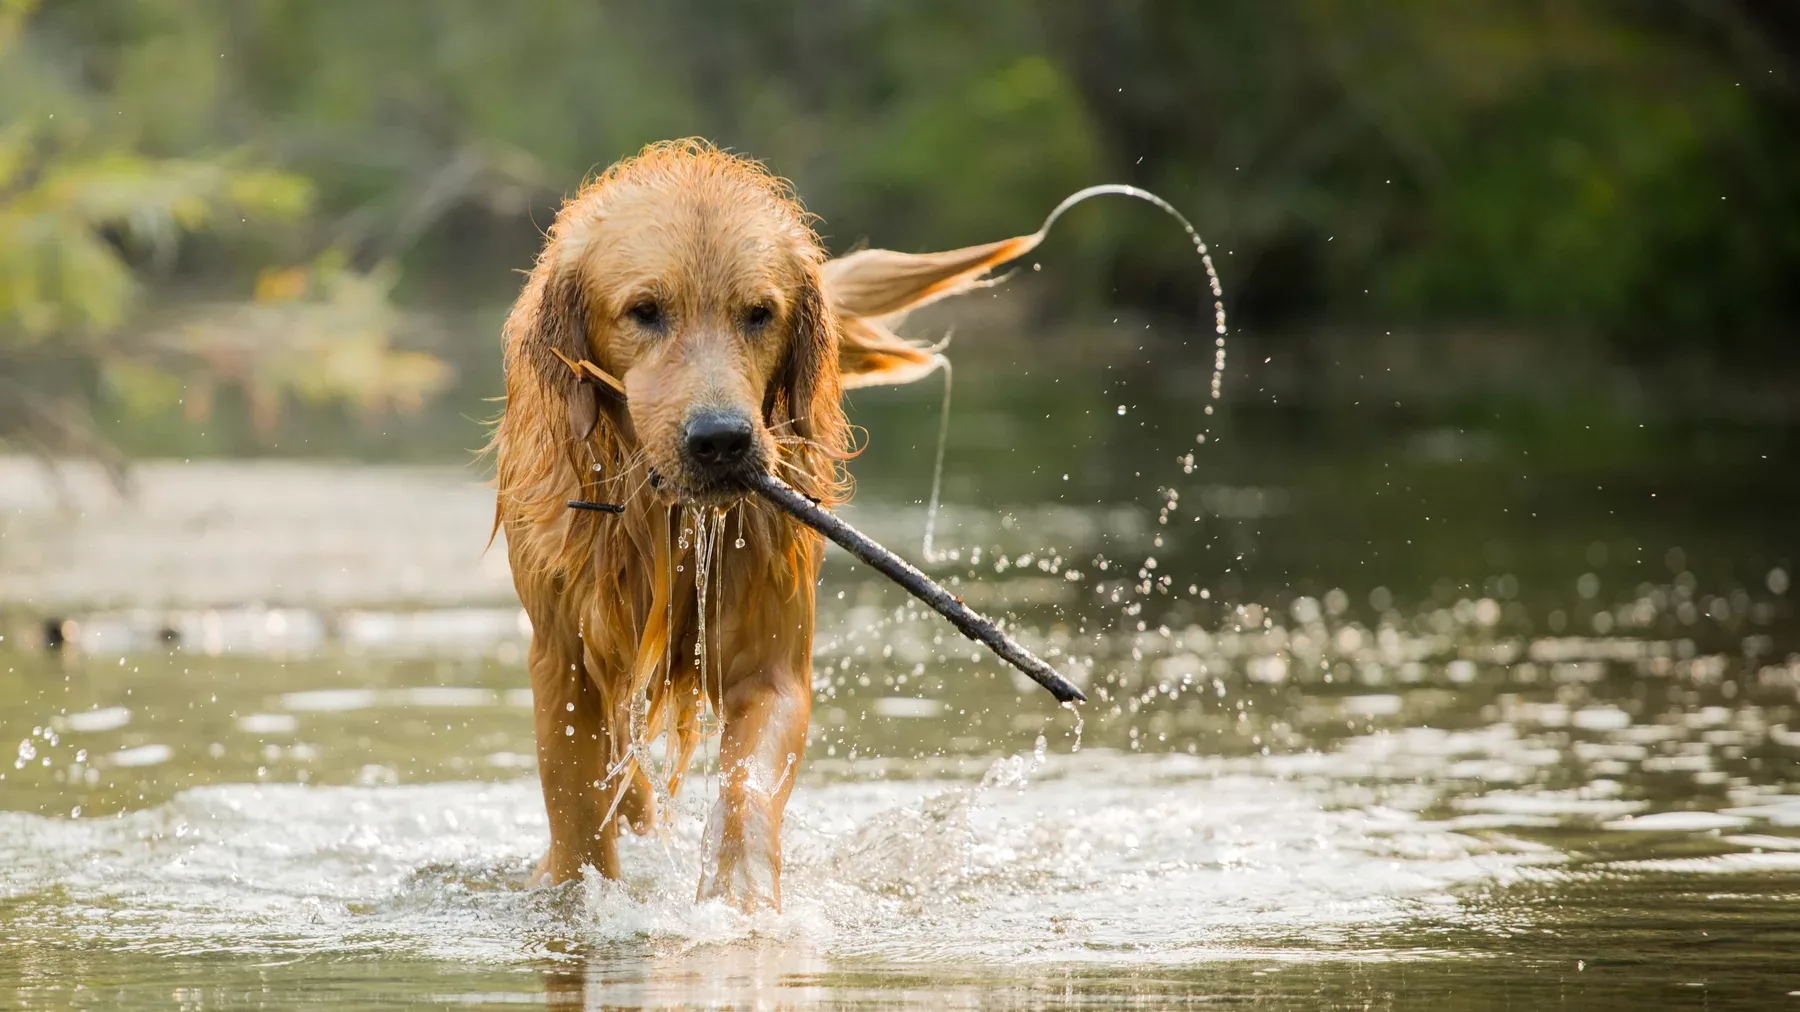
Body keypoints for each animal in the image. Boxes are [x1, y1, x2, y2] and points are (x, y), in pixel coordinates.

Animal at [489, 139, 1044, 907]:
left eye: (758, 313)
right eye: (644, 311)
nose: (720, 440)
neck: (667, 521)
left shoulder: (770, 660)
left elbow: (745, 788)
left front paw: (741, 902)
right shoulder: (562, 663)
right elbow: (578, 822)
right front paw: (579, 892)